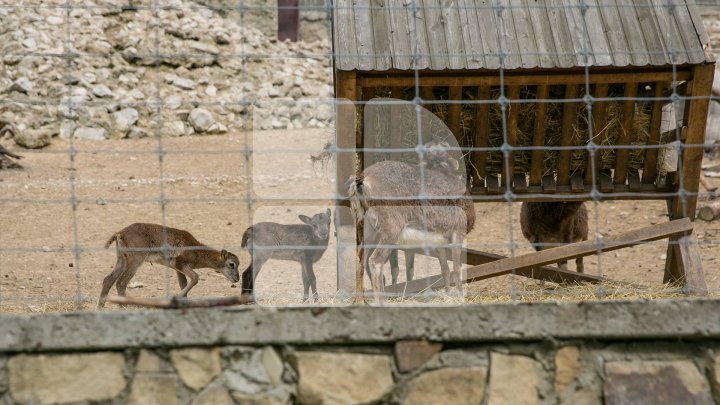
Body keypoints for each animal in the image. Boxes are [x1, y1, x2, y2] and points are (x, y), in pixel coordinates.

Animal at [97, 223, 242, 308]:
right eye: (232, 264)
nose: (237, 279)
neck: (196, 251)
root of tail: (119, 234)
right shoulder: (179, 264)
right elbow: (195, 278)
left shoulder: (178, 269)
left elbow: (184, 284)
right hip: (135, 261)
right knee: (121, 283)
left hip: (122, 259)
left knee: (108, 280)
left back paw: (101, 307)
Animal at [348, 140, 472, 302]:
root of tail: (363, 183)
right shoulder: (458, 233)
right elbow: (457, 269)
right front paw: (460, 297)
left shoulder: (440, 243)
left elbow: (445, 269)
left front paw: (447, 294)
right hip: (390, 232)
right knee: (376, 261)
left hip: (367, 232)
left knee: (360, 261)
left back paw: (361, 301)